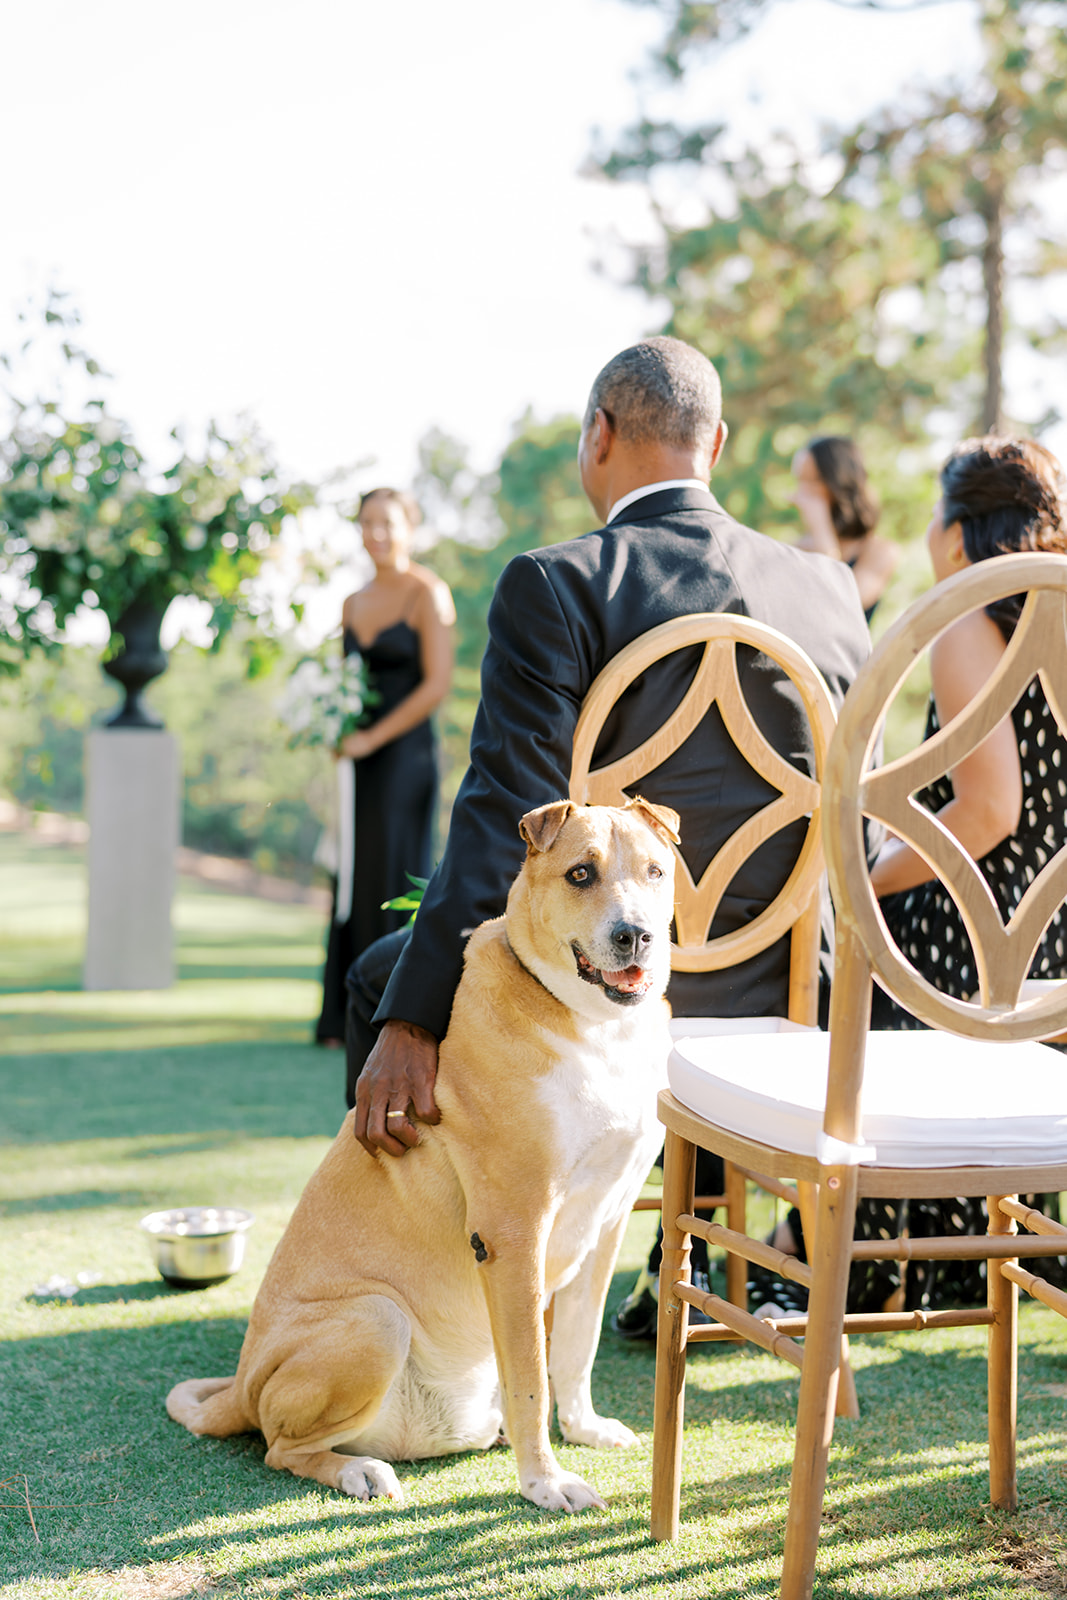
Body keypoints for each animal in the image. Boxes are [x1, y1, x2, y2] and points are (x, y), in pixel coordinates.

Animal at [171, 800, 681, 1510]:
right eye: (581, 873)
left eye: (655, 871)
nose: (636, 935)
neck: (598, 1031)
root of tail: (240, 1389)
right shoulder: (512, 1234)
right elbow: (532, 1375)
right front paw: (545, 1481)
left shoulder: (606, 1223)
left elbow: (575, 1350)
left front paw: (584, 1429)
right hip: (377, 1319)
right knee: (280, 1447)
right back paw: (359, 1471)